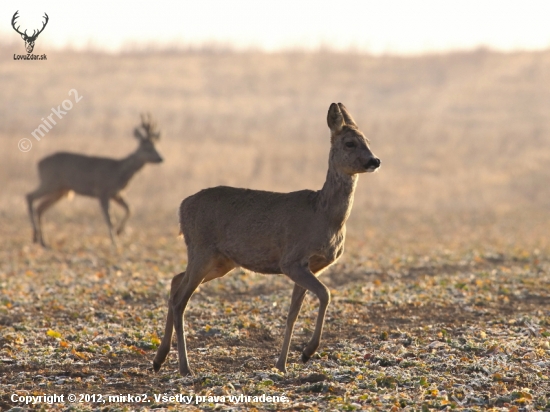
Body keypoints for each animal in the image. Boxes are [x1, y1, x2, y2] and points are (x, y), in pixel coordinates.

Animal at [26, 114, 164, 246]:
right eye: (147, 148)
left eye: (156, 146)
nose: (160, 158)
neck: (118, 170)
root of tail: (39, 163)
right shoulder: (102, 191)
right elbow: (110, 219)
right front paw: (114, 242)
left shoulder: (117, 193)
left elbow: (130, 209)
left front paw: (119, 232)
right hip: (49, 182)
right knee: (29, 196)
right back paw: (35, 237)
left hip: (60, 190)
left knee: (40, 208)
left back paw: (42, 241)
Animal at [153, 104, 382, 376]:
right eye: (349, 143)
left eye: (368, 141)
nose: (374, 160)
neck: (324, 215)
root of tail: (182, 207)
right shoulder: (291, 260)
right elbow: (325, 294)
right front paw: (307, 352)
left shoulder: (311, 266)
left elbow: (293, 313)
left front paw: (282, 364)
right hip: (202, 249)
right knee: (180, 300)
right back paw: (184, 367)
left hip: (220, 262)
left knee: (176, 280)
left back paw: (159, 359)